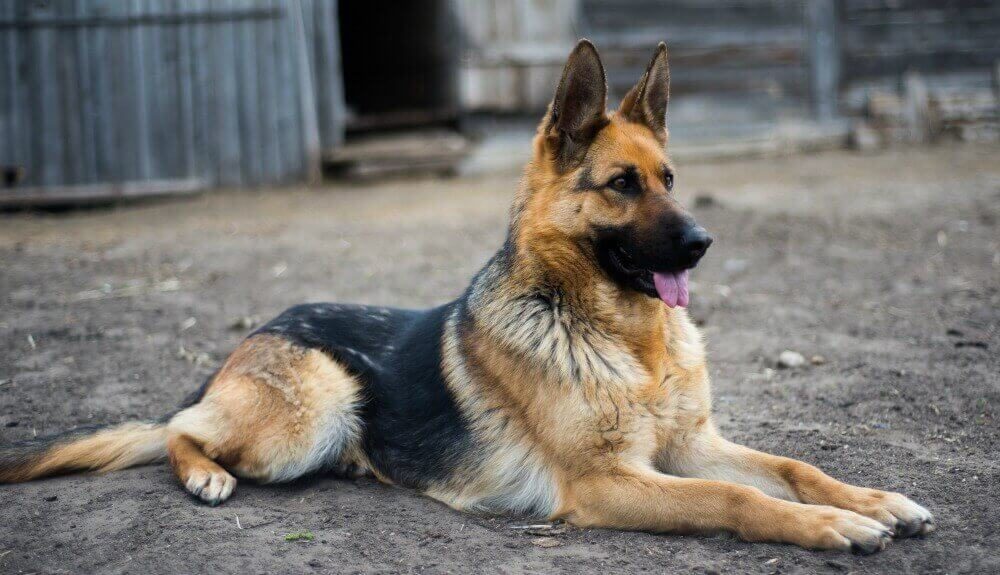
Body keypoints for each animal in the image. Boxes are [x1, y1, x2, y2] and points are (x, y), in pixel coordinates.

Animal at [3, 40, 932, 552]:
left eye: (670, 178)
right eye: (622, 185)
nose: (703, 242)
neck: (628, 341)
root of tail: (256, 331)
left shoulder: (689, 445)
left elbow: (794, 468)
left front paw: (875, 500)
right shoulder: (609, 482)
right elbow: (741, 498)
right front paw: (833, 527)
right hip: (312, 411)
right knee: (179, 429)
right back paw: (204, 475)